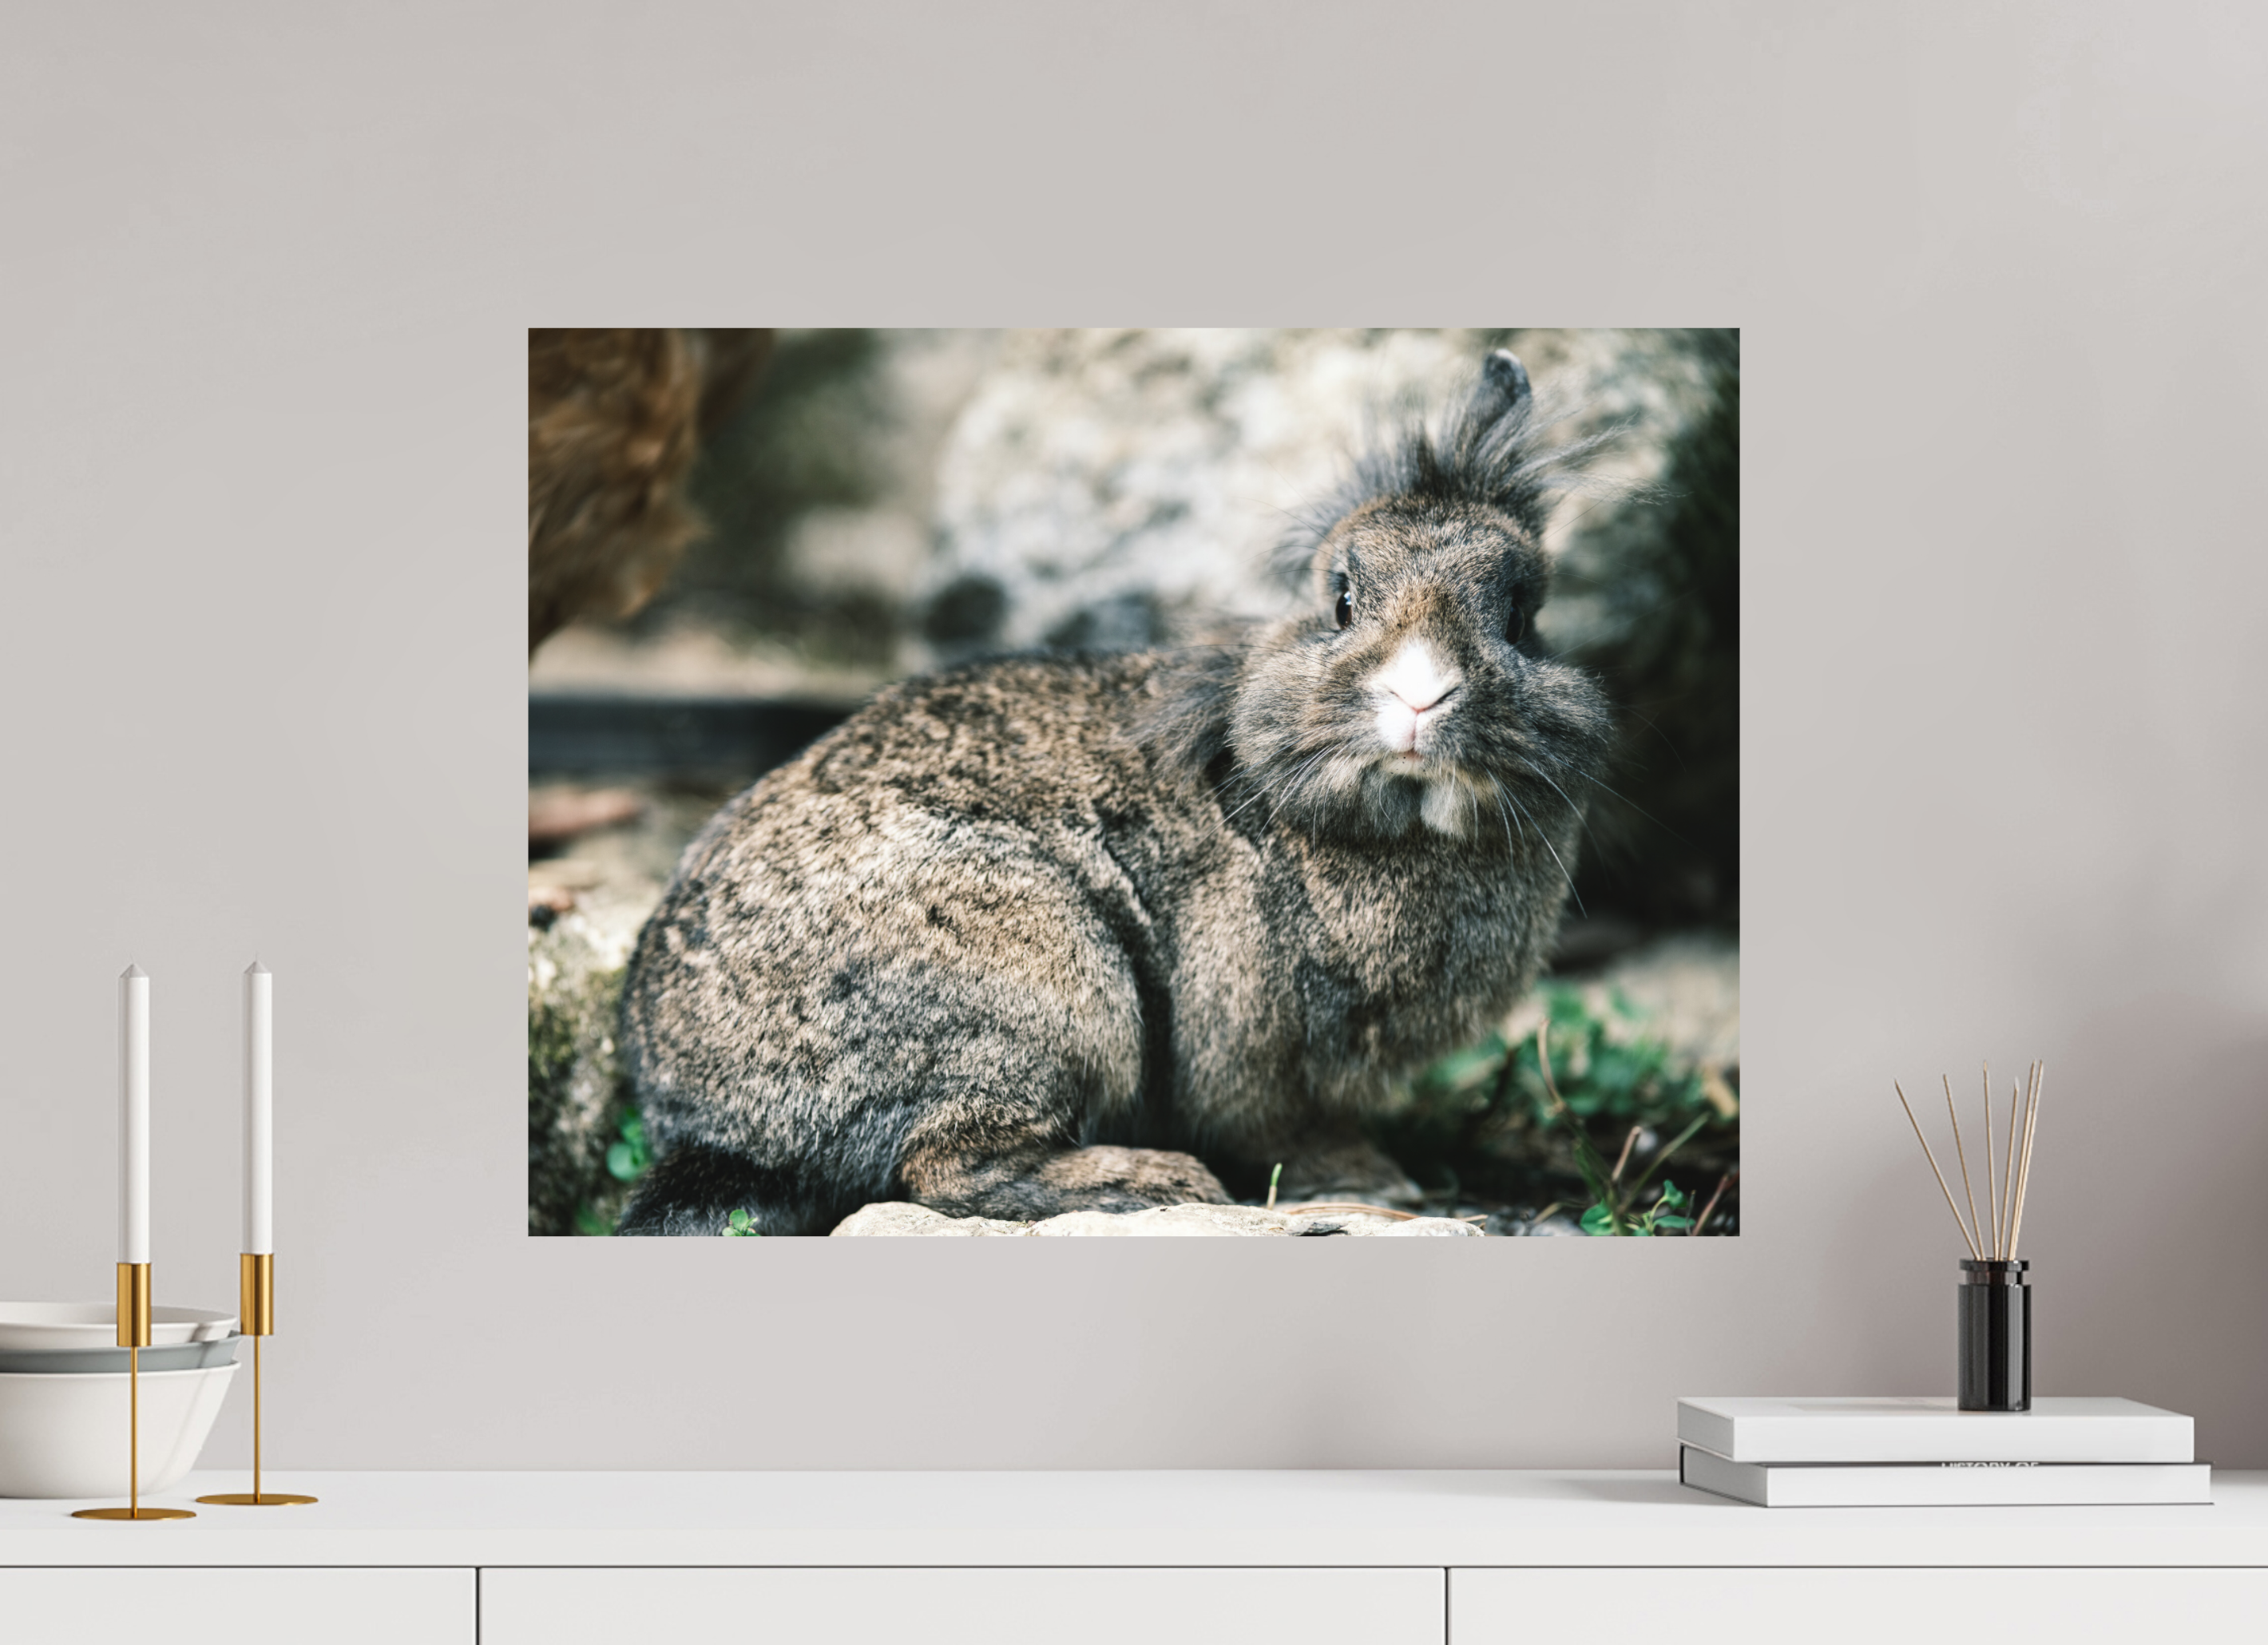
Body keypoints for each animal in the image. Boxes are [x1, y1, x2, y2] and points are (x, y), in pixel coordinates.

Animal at [615, 350, 1615, 1234]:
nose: (1418, 695)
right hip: (1047, 987)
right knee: (944, 1165)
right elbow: (1286, 1126)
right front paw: (1377, 1180)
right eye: (1339, 600)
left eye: (1520, 614)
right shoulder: (1253, 1045)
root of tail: (715, 1120)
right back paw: (1156, 1179)